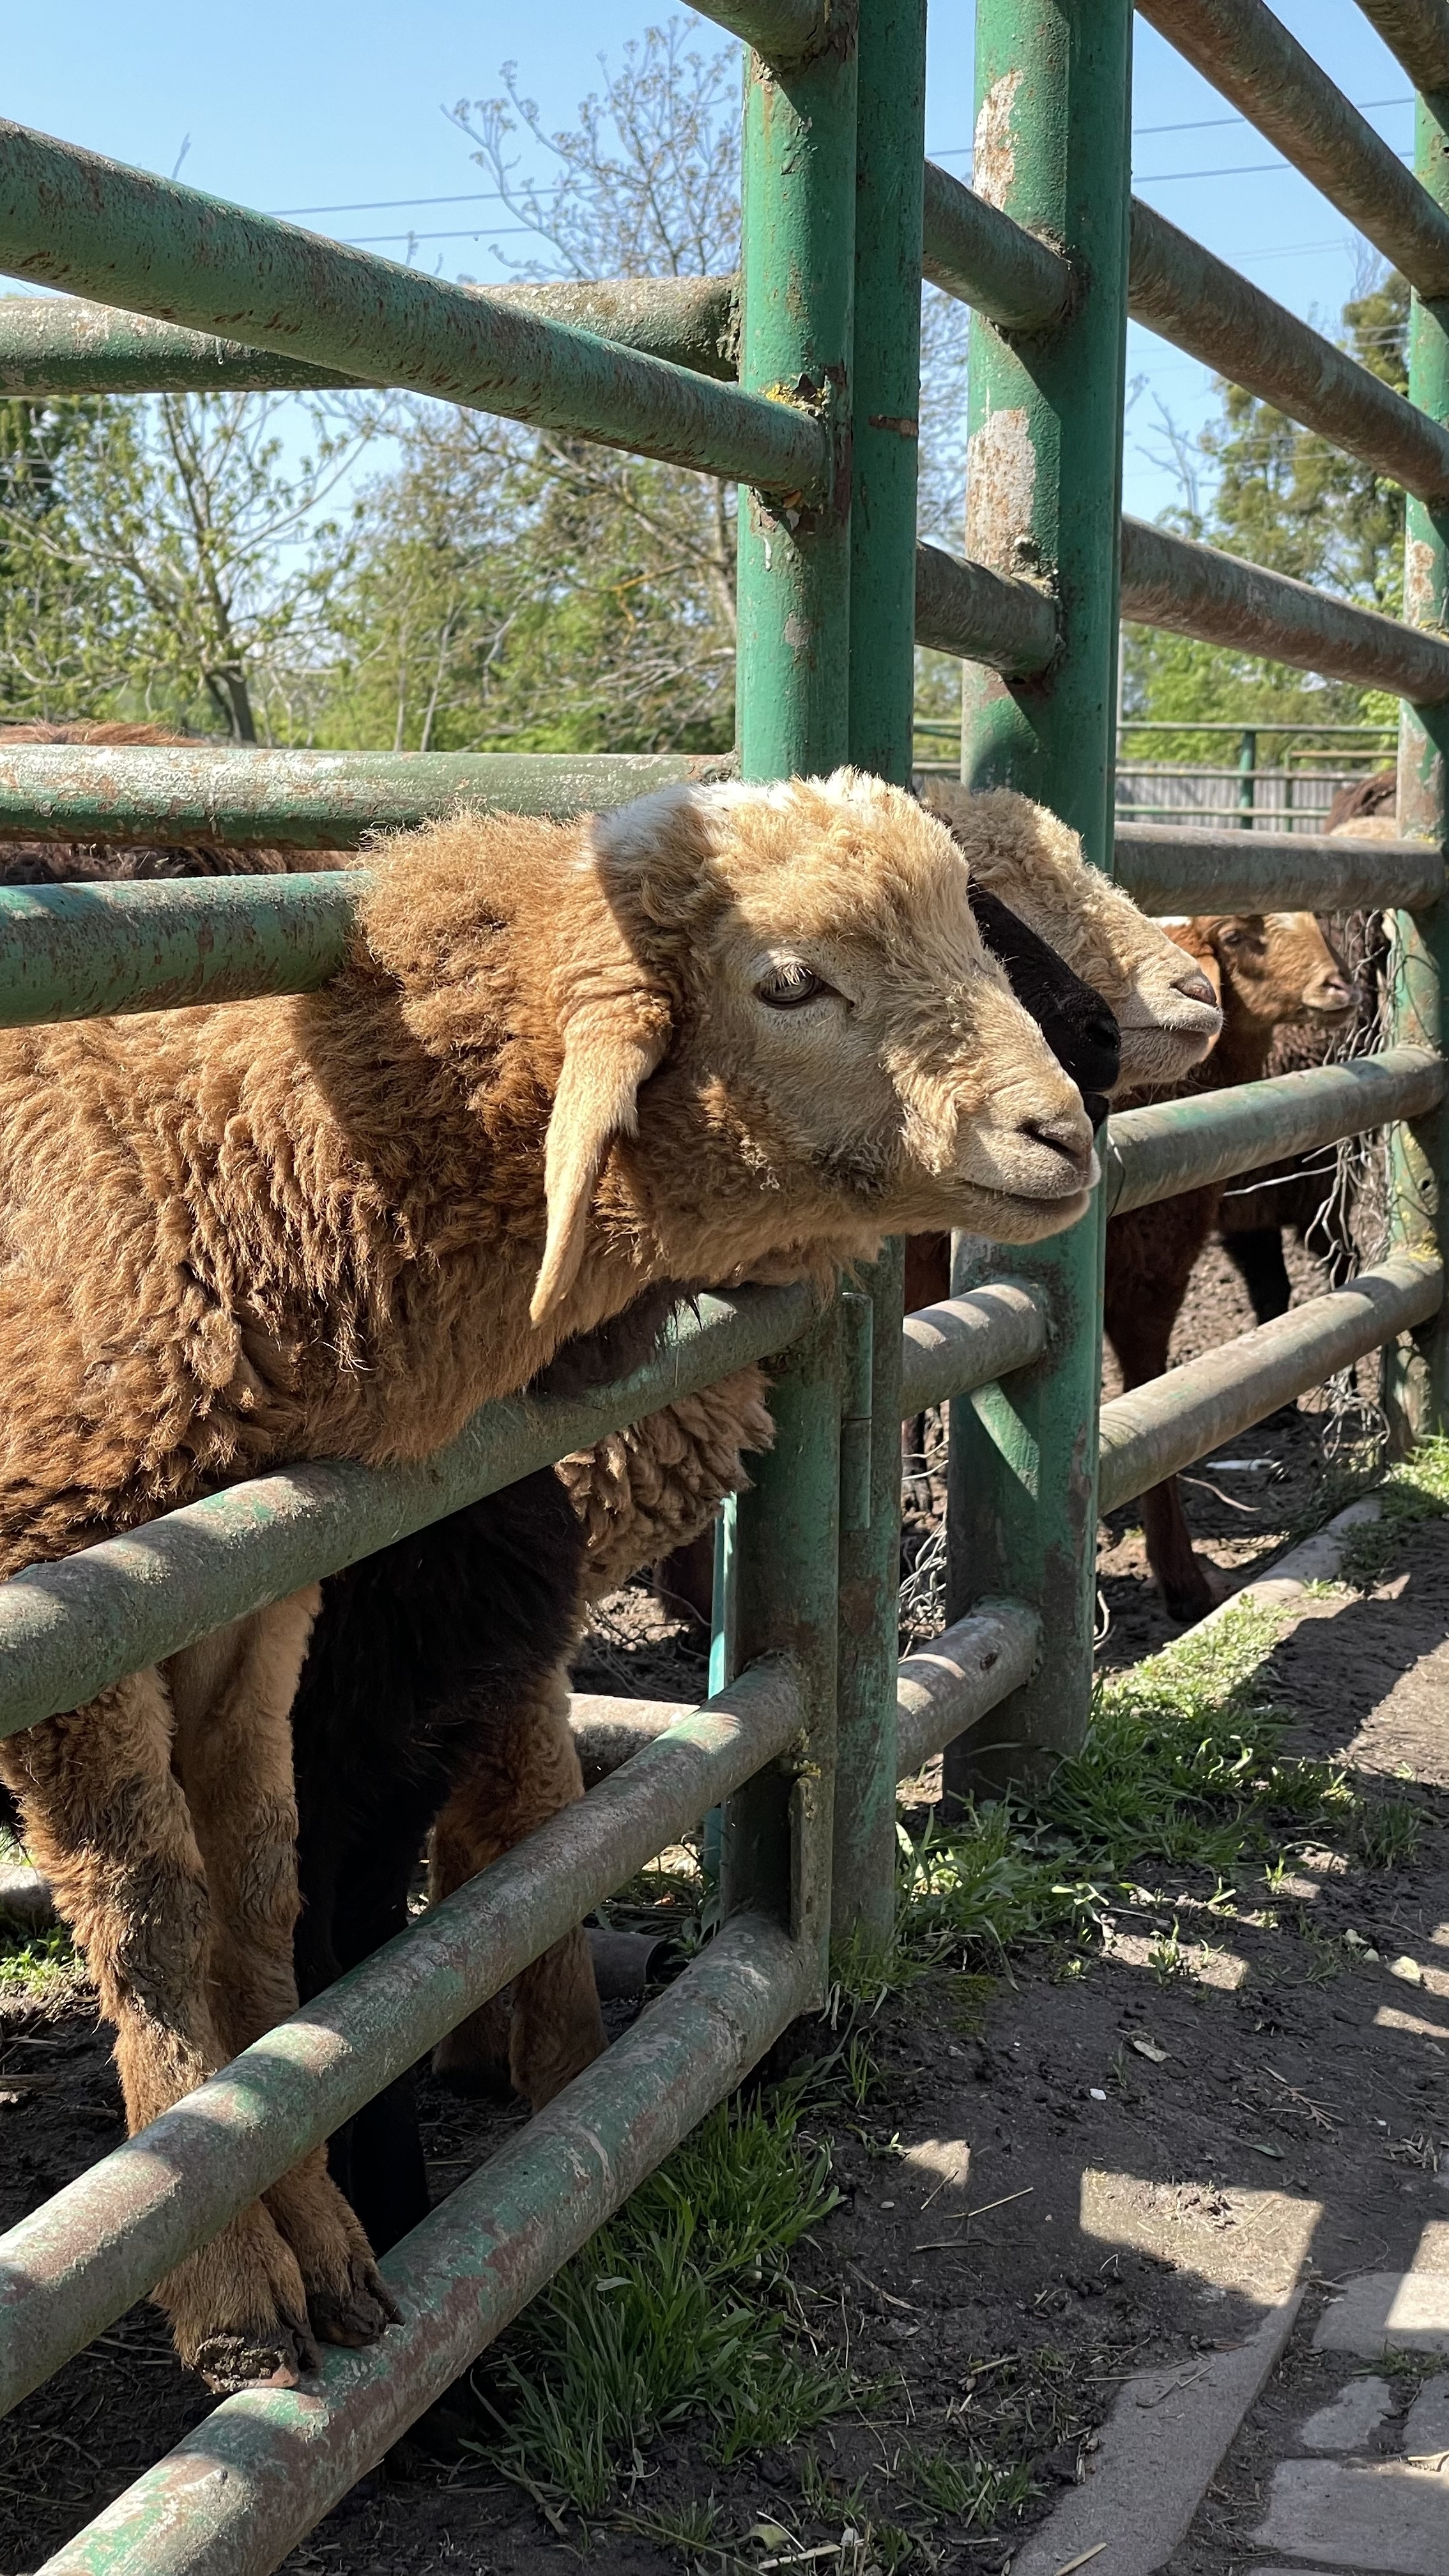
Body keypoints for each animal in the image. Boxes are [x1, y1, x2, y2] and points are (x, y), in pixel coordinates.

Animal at [0, 767, 1088, 2390]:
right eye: (788, 984)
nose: (1064, 1129)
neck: (194, 1172)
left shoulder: (250, 1591)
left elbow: (262, 1888)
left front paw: (321, 2218)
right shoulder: (78, 1596)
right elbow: (157, 1922)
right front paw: (233, 2275)